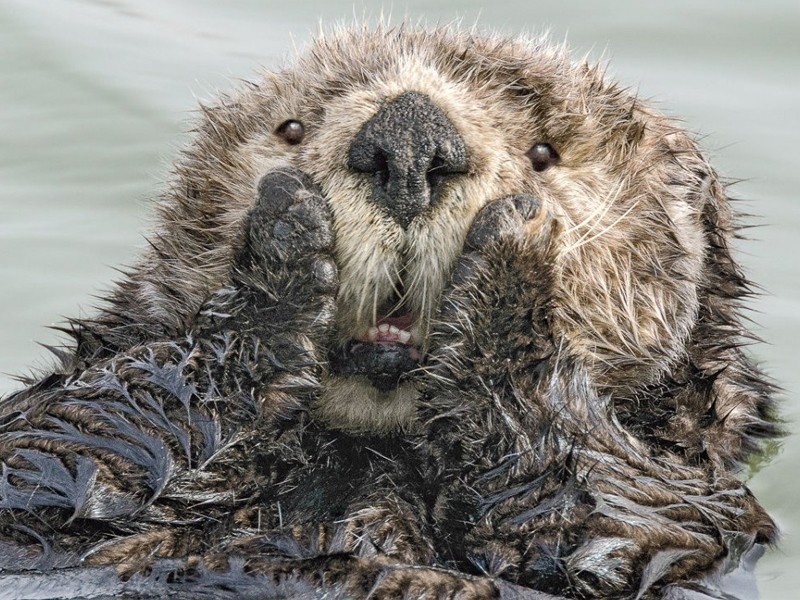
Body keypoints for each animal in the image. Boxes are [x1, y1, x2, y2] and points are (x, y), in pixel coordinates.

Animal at [0, 24, 776, 600]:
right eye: (291, 128)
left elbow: (612, 516)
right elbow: (54, 445)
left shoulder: (694, 509)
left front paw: (515, 254)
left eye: (544, 152)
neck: (366, 451)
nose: (407, 140)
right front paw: (282, 246)